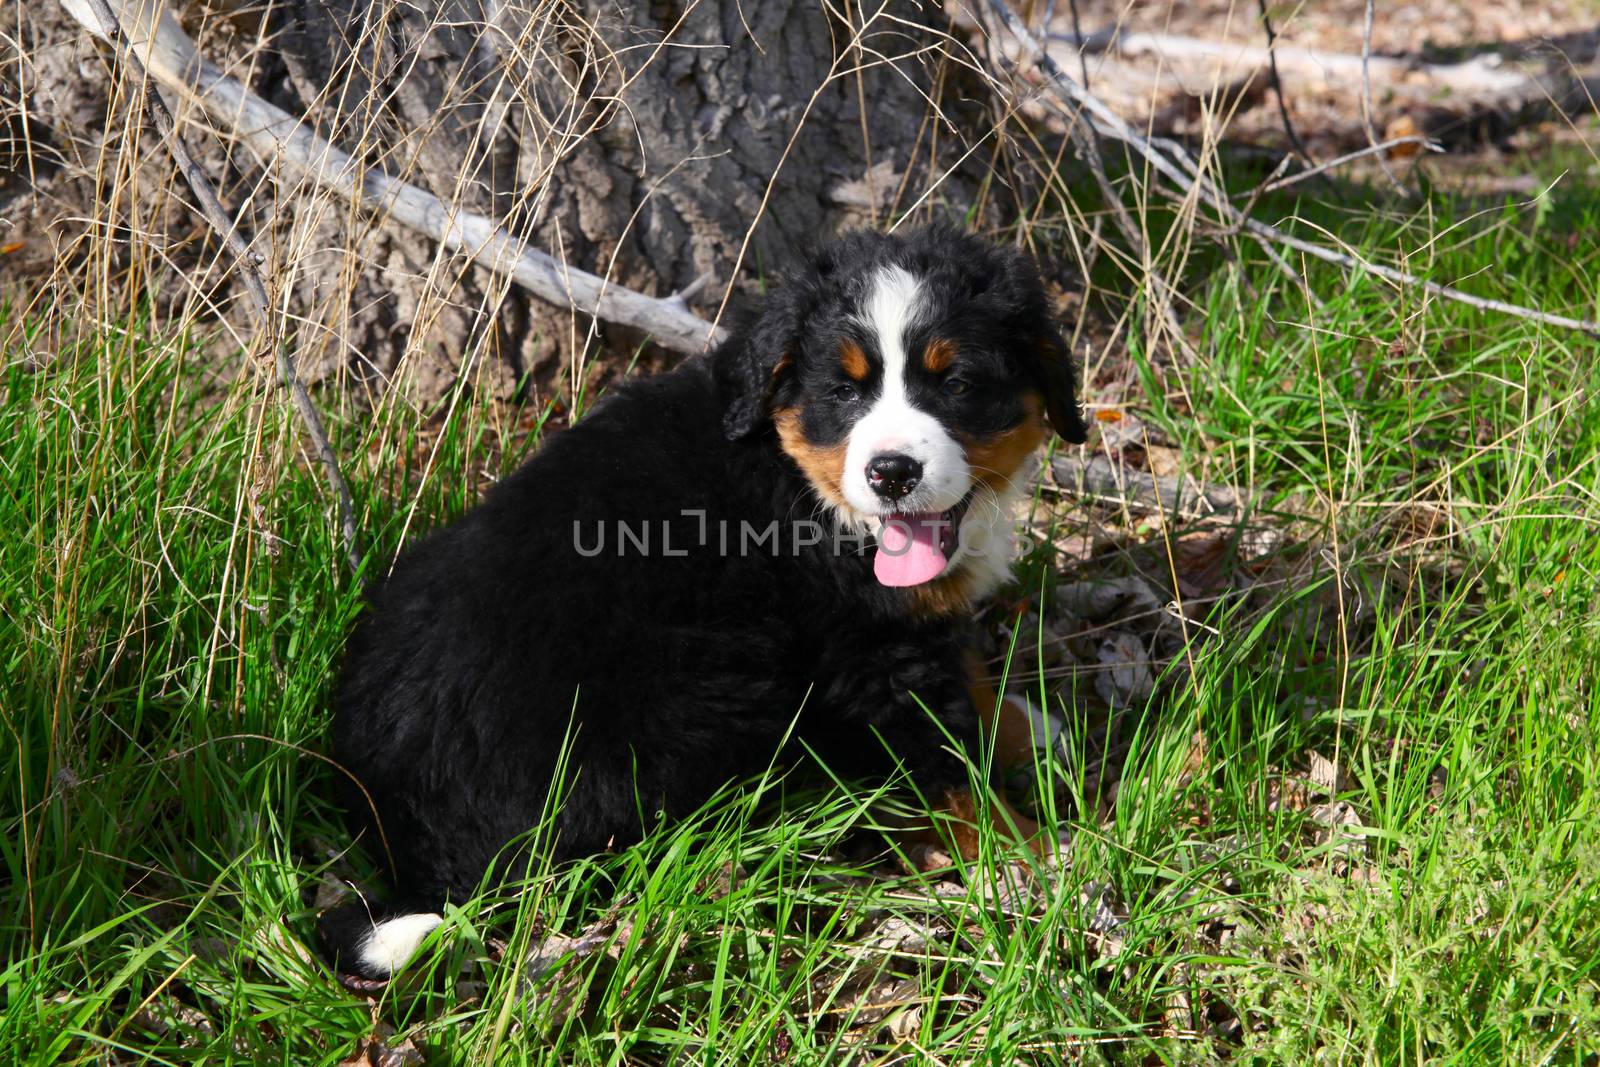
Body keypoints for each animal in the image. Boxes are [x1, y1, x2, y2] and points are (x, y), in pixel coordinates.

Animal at [323, 227, 1088, 985]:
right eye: (843, 392)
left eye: (956, 384)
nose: (892, 473)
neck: (799, 479)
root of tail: (414, 847)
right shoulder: (871, 650)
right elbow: (947, 760)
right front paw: (1032, 859)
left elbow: (966, 677)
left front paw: (1024, 728)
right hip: (708, 684)